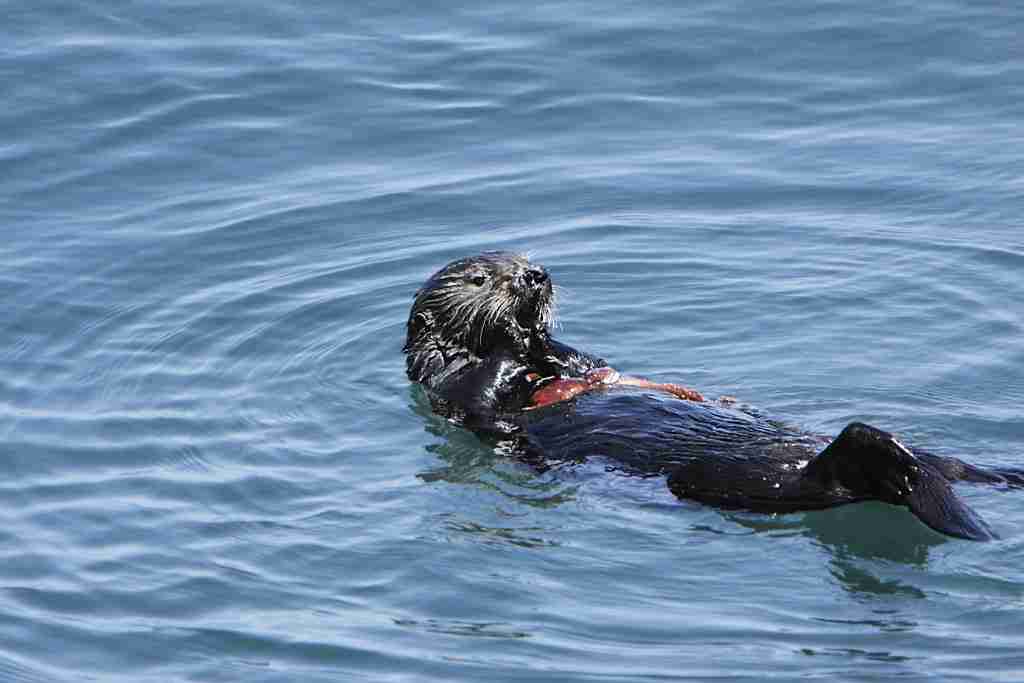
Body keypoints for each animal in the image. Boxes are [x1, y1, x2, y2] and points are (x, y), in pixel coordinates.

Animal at [404, 252, 1022, 541]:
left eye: (523, 259)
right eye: (482, 278)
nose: (535, 276)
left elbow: (590, 364)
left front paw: (550, 341)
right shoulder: (453, 390)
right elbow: (485, 384)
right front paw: (518, 337)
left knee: (948, 464)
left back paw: (995, 473)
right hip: (727, 480)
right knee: (841, 478)